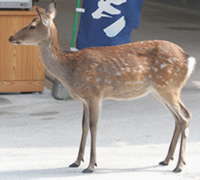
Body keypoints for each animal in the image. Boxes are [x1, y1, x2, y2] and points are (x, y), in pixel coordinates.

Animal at [8, 0, 195, 174]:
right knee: (178, 118)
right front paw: (77, 161)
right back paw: (166, 160)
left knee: (185, 116)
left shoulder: (95, 94)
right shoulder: (84, 99)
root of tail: (189, 59)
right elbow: (83, 125)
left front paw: (91, 166)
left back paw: (179, 165)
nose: (11, 38)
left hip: (168, 87)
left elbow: (93, 126)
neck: (70, 69)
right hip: (161, 91)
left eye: (32, 26)